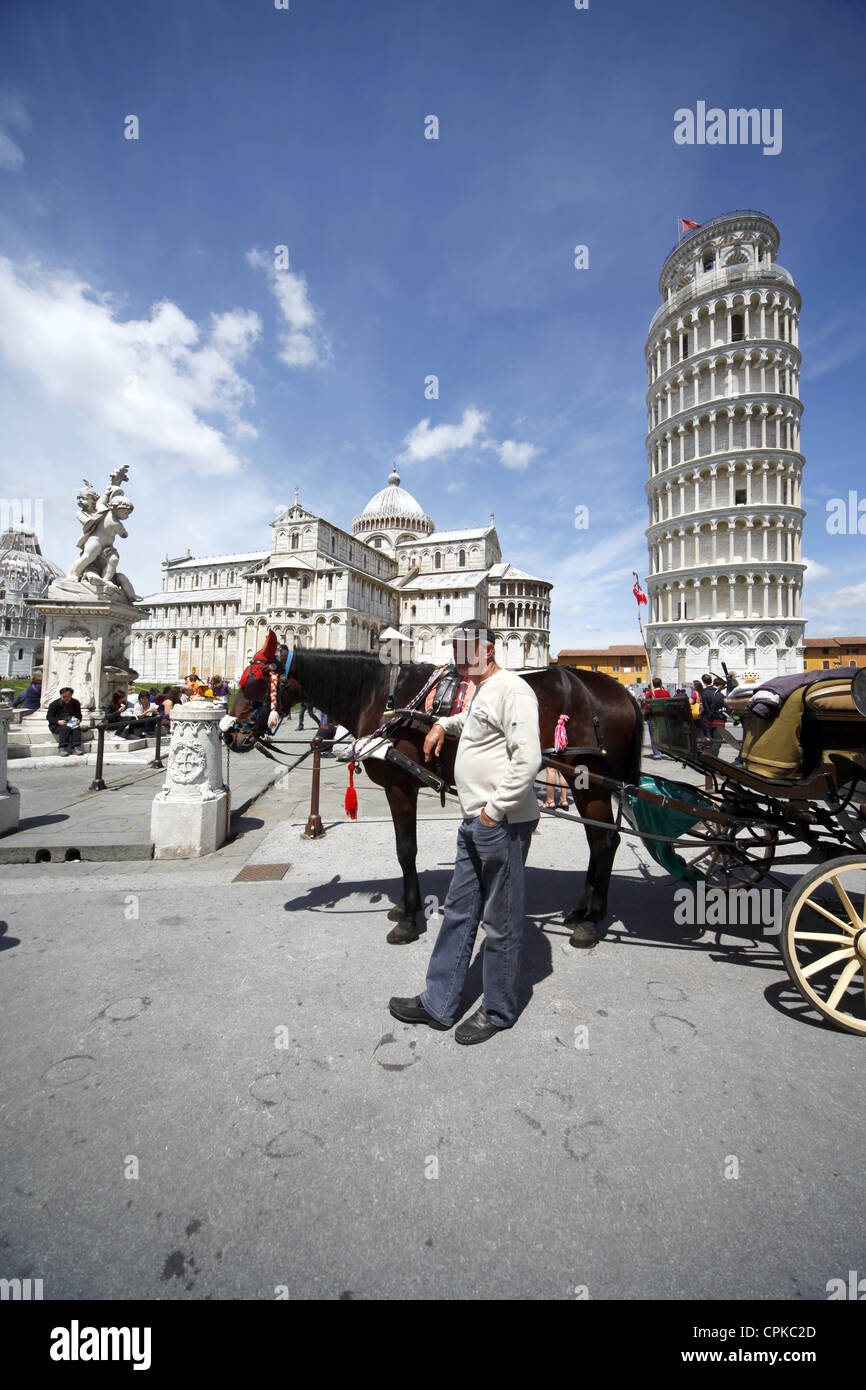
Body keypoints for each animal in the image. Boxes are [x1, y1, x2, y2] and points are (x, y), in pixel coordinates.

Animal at [223, 644, 644, 950]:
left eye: (256, 679)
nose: (229, 732)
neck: (382, 695)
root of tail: (623, 693)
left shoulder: (400, 785)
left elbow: (405, 848)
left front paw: (409, 919)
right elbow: (403, 848)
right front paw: (403, 908)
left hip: (592, 779)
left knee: (604, 841)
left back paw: (591, 922)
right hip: (587, 783)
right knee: (599, 840)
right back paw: (579, 911)